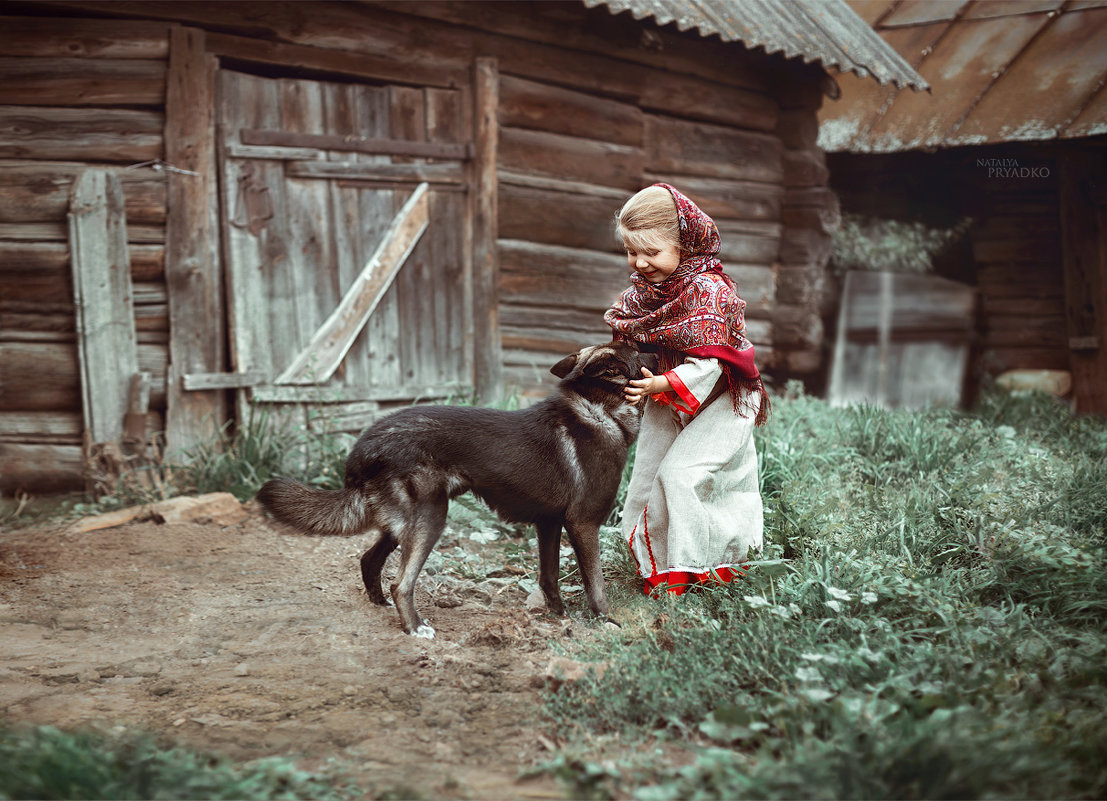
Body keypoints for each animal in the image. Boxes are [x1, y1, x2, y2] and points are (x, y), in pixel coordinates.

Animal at [256, 345, 646, 637]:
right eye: (638, 351)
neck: (598, 410)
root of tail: (362, 449)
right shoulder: (583, 524)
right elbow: (596, 584)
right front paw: (604, 621)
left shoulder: (548, 523)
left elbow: (548, 577)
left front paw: (559, 614)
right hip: (431, 518)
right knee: (402, 583)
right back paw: (414, 627)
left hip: (403, 523)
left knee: (369, 560)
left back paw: (381, 603)